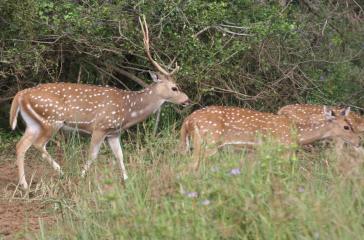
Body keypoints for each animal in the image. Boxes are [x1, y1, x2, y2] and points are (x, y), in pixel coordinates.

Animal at [8, 15, 191, 190]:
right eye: (174, 88)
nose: (187, 100)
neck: (128, 110)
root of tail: (21, 94)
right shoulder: (100, 126)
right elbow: (93, 155)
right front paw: (81, 177)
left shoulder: (113, 132)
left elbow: (120, 155)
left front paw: (127, 181)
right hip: (52, 119)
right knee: (38, 145)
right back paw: (61, 172)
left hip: (34, 123)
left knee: (20, 145)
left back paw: (24, 185)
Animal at [179, 106, 358, 170]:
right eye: (347, 127)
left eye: (351, 124)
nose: (358, 141)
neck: (297, 134)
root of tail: (188, 119)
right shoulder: (282, 149)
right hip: (208, 142)